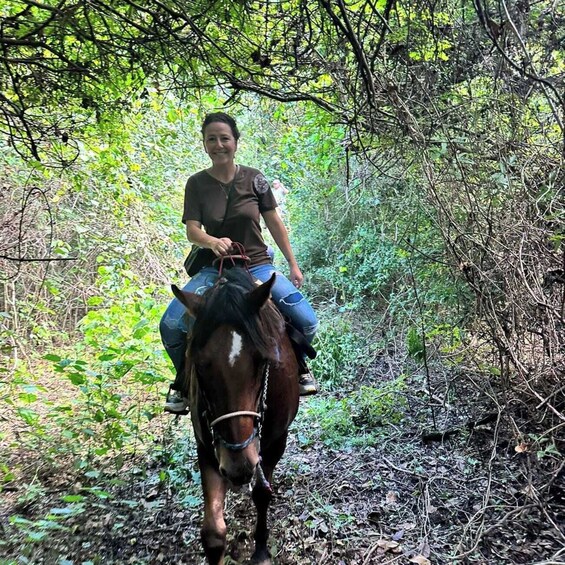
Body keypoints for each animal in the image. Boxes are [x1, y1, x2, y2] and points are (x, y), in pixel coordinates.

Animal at [171, 266, 300, 560]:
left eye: (263, 361)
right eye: (199, 365)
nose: (237, 467)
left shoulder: (276, 440)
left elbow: (262, 493)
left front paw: (261, 551)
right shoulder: (206, 447)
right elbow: (213, 533)